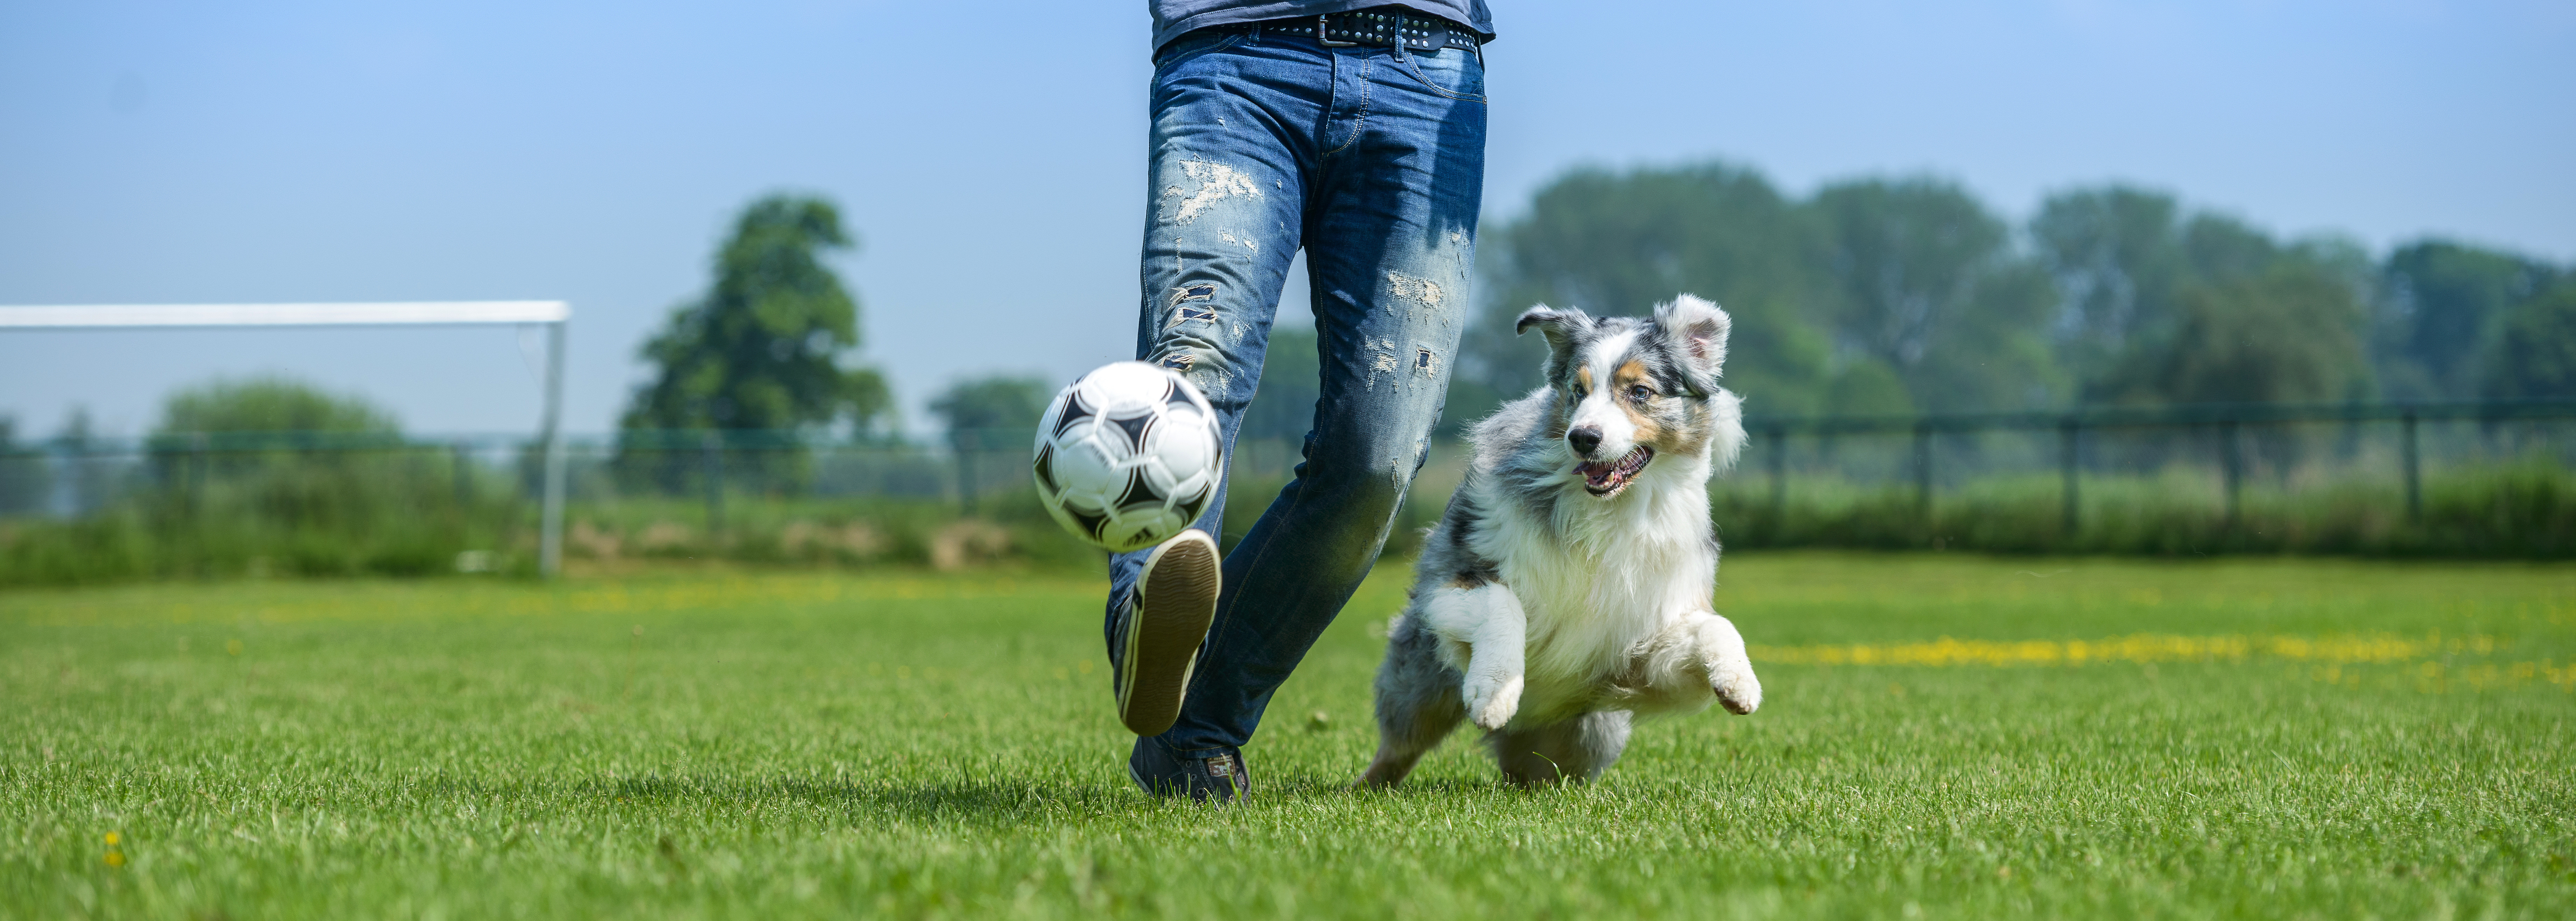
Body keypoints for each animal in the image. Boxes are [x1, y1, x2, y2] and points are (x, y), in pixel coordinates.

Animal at [1360, 293, 1762, 782]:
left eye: (1640, 392)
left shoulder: (1639, 655)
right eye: (1578, 390)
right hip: (1421, 685)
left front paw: (1740, 682)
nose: (1583, 437)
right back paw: (1364, 788)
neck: (1609, 510)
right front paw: (1494, 692)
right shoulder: (1451, 579)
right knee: (1398, 747)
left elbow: (1715, 625)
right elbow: (1503, 604)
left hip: (1590, 735)